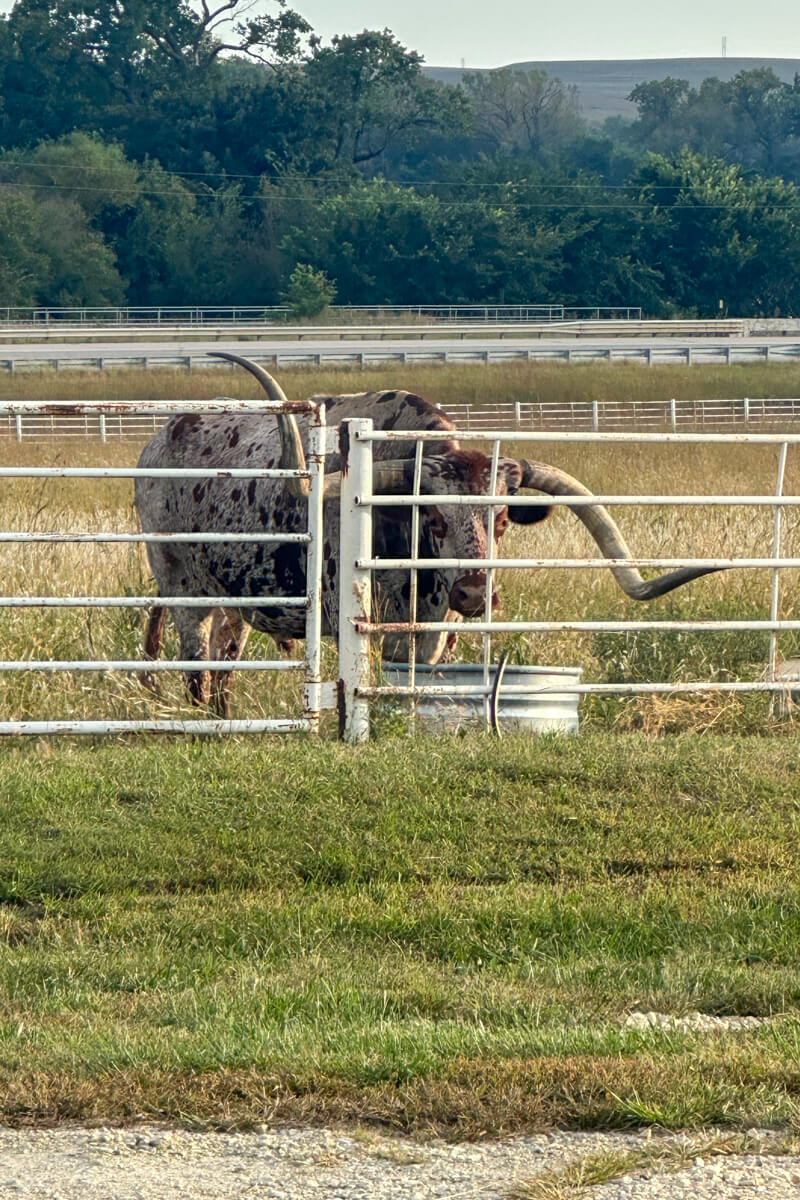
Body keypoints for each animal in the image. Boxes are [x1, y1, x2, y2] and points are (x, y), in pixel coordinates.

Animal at [135, 351, 720, 717]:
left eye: (502, 521)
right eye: (432, 518)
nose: (475, 593)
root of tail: (160, 439)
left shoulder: (436, 634)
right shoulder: (376, 628)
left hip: (237, 601)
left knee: (223, 668)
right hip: (183, 586)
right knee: (195, 667)